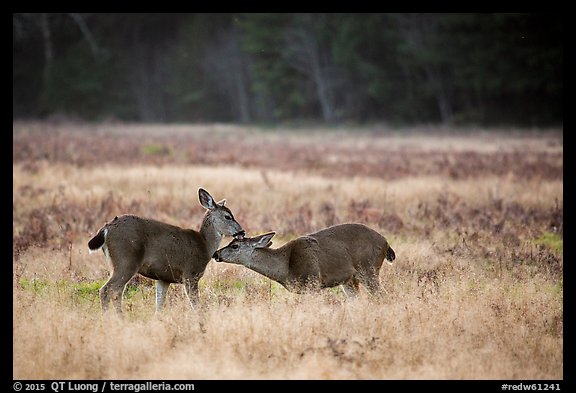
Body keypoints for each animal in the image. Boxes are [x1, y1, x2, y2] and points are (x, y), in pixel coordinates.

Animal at [86, 187, 244, 312]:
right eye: (228, 216)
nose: (242, 231)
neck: (204, 245)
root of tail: (106, 229)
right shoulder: (190, 274)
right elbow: (196, 306)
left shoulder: (163, 278)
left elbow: (159, 307)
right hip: (125, 260)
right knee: (106, 290)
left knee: (117, 292)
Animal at [212, 222, 396, 296]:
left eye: (235, 246)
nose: (216, 254)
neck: (287, 267)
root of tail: (386, 243)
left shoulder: (313, 281)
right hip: (350, 280)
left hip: (368, 268)